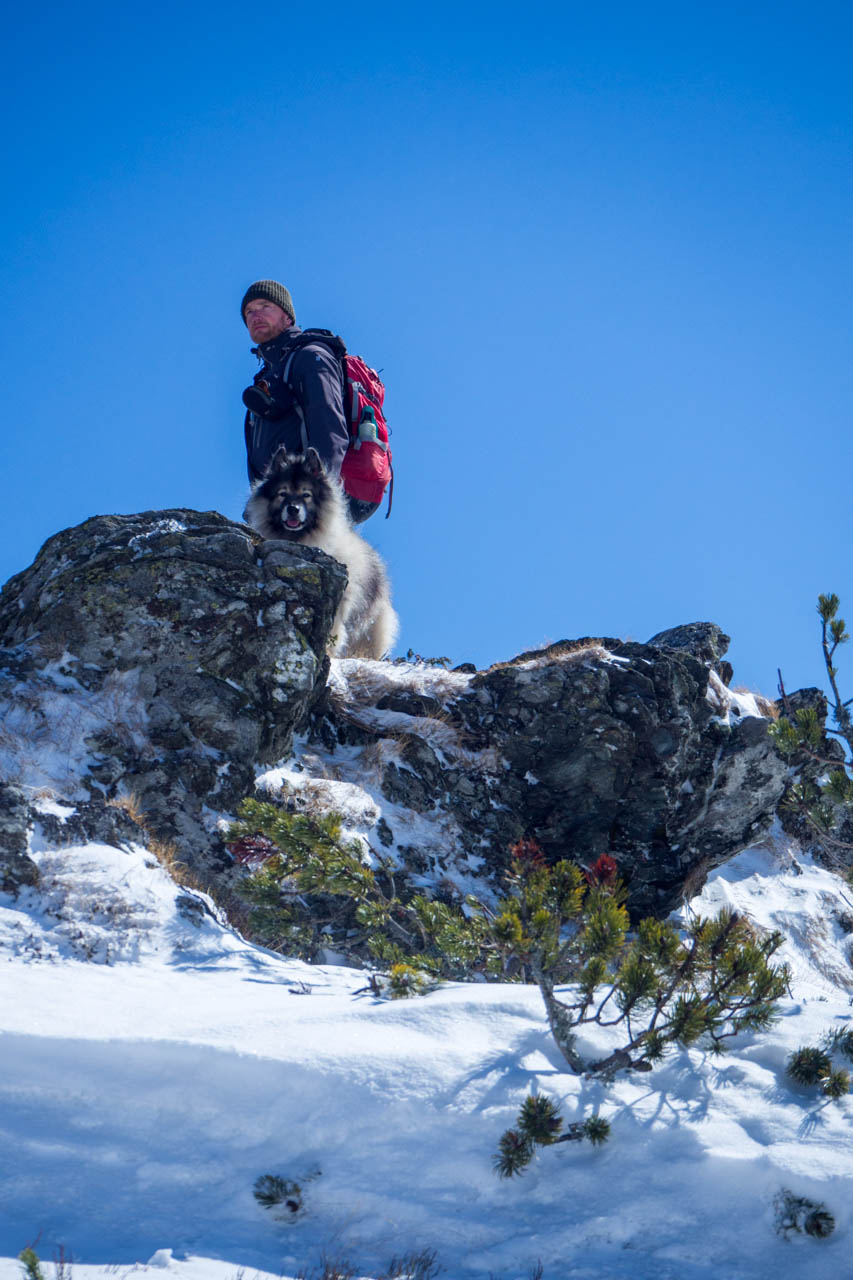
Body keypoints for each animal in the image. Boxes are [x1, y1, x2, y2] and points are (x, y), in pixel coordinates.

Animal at [240, 448, 397, 660]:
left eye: (306, 495)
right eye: (282, 493)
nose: (293, 509)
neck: (302, 539)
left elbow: (333, 632)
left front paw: (328, 652)